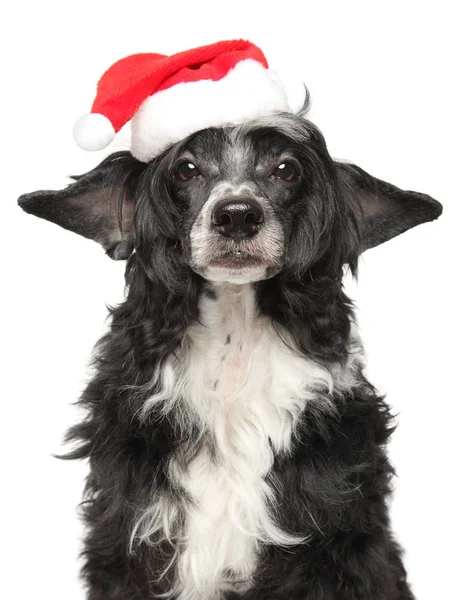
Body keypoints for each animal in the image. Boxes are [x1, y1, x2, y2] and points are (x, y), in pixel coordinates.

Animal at [17, 104, 442, 600]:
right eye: (186, 168)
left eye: (286, 168)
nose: (237, 214)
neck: (233, 345)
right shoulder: (131, 539)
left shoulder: (337, 543)